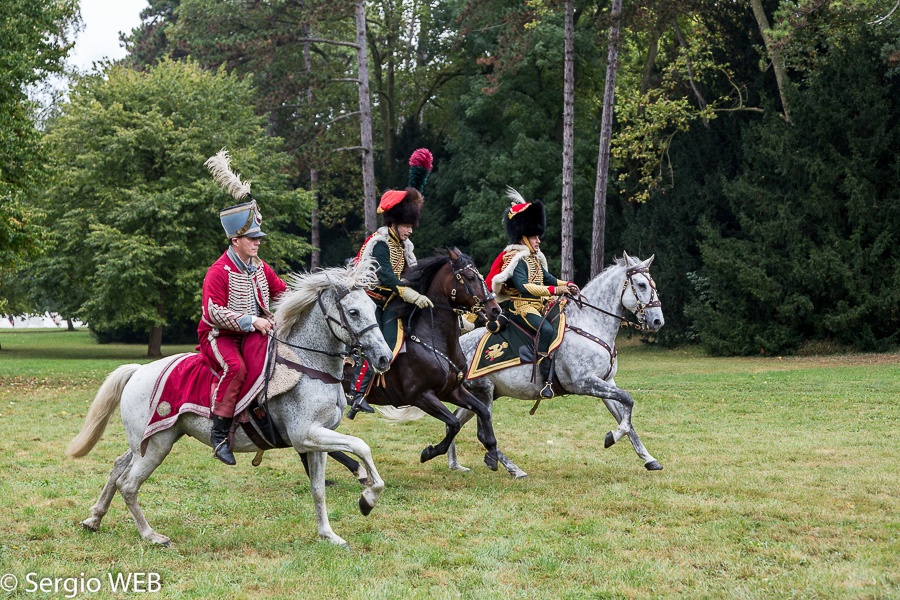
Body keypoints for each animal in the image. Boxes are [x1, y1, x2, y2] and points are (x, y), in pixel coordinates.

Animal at [67, 258, 394, 548]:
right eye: (353, 311)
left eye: (372, 309)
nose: (384, 358)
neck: (307, 364)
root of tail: (138, 371)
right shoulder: (306, 434)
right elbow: (361, 446)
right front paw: (368, 498)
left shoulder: (315, 440)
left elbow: (318, 488)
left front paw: (328, 534)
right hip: (156, 446)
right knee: (129, 484)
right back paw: (151, 535)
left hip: (149, 441)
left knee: (117, 467)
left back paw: (94, 518)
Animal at [342, 247, 506, 468]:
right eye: (470, 277)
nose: (495, 309)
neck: (431, 339)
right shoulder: (421, 396)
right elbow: (454, 423)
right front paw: (429, 452)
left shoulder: (452, 391)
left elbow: (483, 411)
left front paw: (491, 452)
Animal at [446, 252, 664, 478]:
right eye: (641, 285)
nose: (658, 321)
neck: (588, 324)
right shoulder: (584, 383)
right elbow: (628, 401)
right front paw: (612, 436)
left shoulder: (607, 382)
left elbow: (625, 416)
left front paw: (649, 459)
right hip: (484, 392)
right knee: (482, 433)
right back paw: (514, 469)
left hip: (478, 396)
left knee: (455, 423)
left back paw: (455, 464)